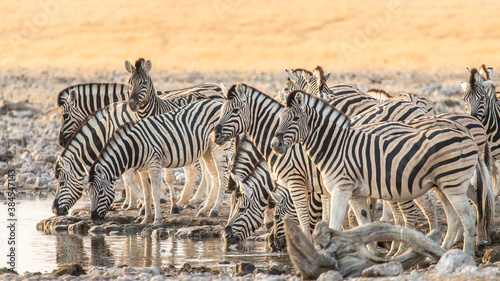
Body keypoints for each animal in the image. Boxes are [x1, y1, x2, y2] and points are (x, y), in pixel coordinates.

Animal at [88, 98, 230, 223]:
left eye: (100, 192)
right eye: (89, 193)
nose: (93, 219)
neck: (134, 147)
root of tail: (217, 102)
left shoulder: (154, 165)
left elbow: (155, 193)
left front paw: (157, 220)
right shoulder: (142, 170)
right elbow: (146, 194)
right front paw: (145, 219)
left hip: (219, 148)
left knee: (222, 177)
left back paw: (214, 210)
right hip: (207, 151)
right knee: (214, 178)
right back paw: (205, 209)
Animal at [272, 89, 490, 254]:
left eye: (295, 118)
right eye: (280, 118)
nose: (275, 144)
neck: (334, 145)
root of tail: (468, 135)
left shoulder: (341, 188)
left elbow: (334, 224)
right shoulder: (355, 194)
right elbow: (362, 222)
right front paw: (368, 253)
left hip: (453, 183)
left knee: (467, 215)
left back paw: (467, 253)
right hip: (445, 184)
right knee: (456, 215)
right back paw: (442, 251)